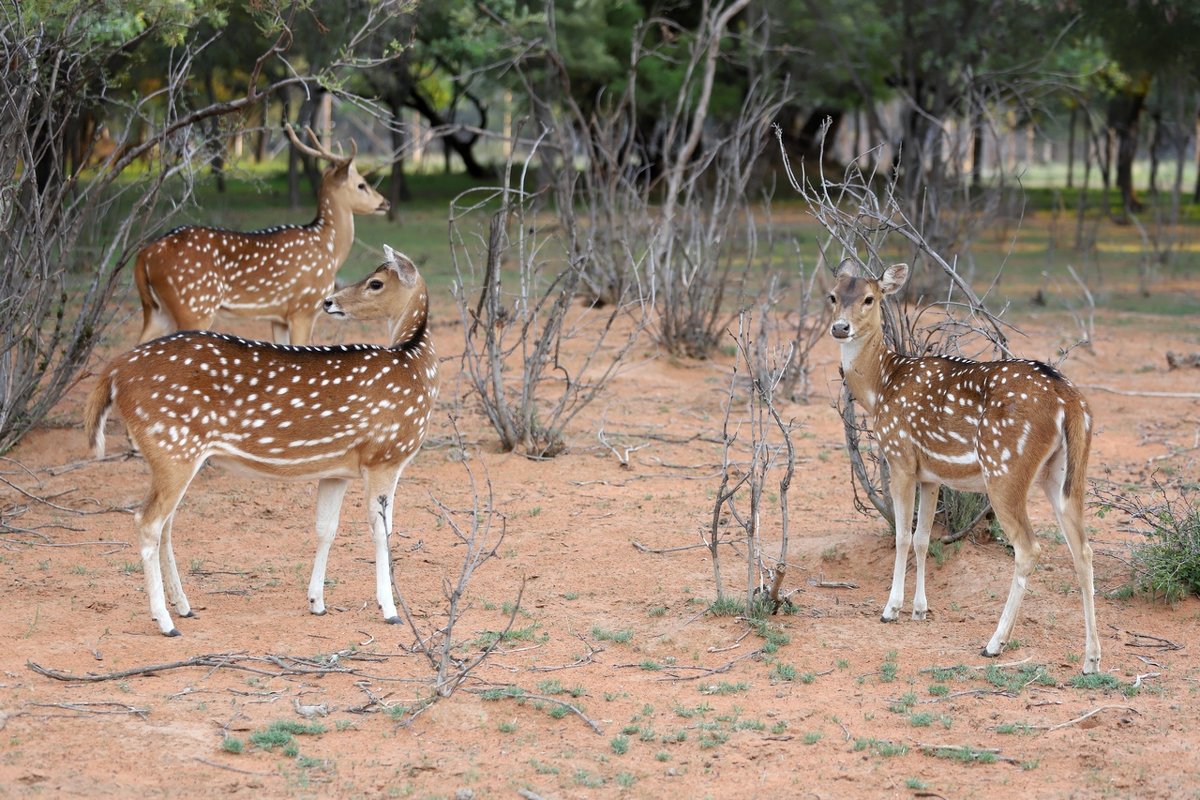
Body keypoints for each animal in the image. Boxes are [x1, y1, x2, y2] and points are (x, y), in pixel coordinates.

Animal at [87, 247, 436, 633]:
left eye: (375, 282)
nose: (329, 301)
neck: (416, 365)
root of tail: (114, 373)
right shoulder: (384, 455)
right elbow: (381, 530)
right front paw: (390, 610)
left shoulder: (337, 470)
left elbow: (325, 528)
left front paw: (317, 602)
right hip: (172, 447)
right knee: (147, 522)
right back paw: (165, 620)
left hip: (171, 455)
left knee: (166, 525)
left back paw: (184, 606)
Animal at [135, 125, 388, 347]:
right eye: (362, 185)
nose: (385, 202)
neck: (329, 248)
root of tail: (144, 255)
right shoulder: (303, 308)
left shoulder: (278, 318)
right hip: (194, 305)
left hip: (156, 310)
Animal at [830, 263, 1099, 676]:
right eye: (833, 295)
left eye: (869, 298)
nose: (840, 327)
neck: (881, 386)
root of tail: (1069, 401)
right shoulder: (930, 475)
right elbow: (923, 538)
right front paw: (920, 610)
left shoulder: (900, 457)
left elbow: (902, 536)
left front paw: (891, 609)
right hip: (1063, 475)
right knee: (1082, 549)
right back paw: (1091, 659)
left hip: (1004, 468)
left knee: (1029, 547)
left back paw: (994, 644)